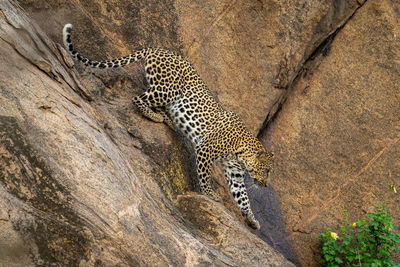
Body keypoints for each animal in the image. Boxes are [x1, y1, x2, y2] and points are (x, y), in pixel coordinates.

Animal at [63, 23, 276, 230]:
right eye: (266, 170)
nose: (266, 185)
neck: (241, 154)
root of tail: (157, 49)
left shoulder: (235, 174)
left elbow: (243, 198)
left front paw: (252, 219)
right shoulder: (205, 150)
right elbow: (204, 175)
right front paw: (210, 194)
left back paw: (167, 118)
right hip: (166, 90)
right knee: (138, 98)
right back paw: (156, 117)